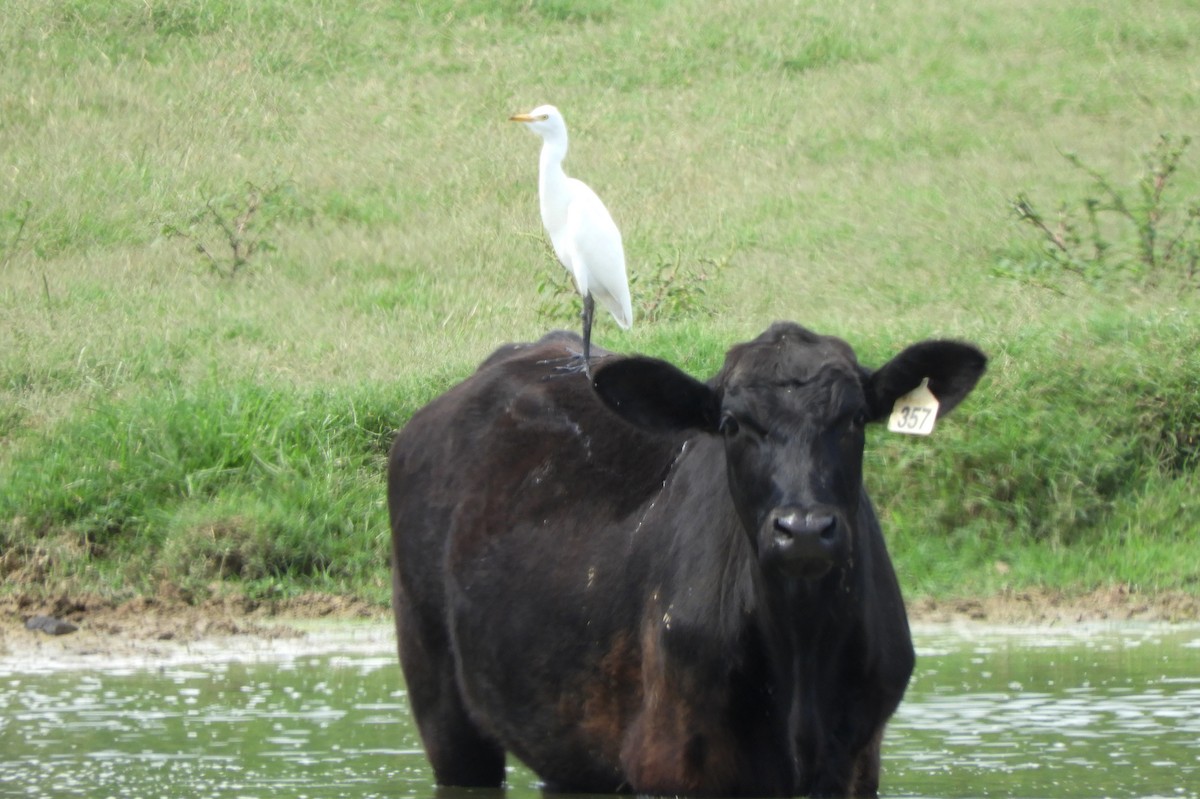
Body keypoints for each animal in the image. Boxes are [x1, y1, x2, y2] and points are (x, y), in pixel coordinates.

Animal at [388, 323, 988, 796]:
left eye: (856, 419)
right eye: (731, 424)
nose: (803, 530)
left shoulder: (858, 763)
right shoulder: (671, 759)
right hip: (438, 695)